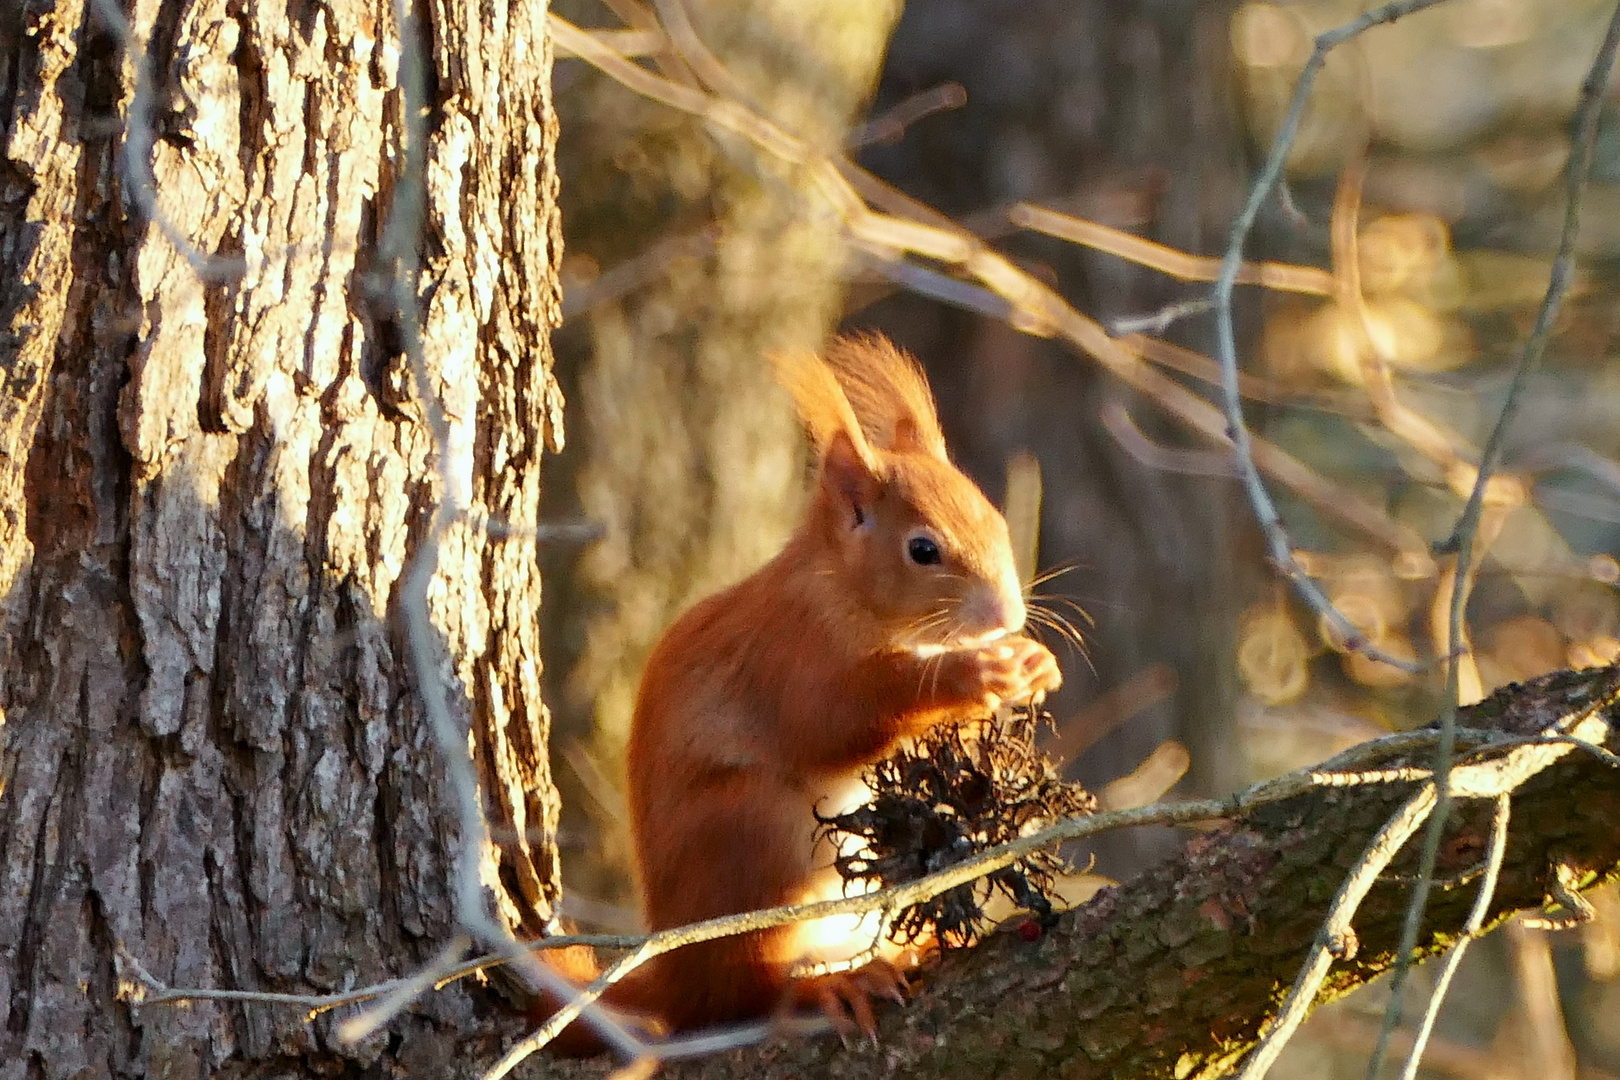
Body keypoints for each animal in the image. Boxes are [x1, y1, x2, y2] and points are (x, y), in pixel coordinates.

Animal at [550, 335, 1069, 1049]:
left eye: (995, 515)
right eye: (923, 550)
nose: (1007, 615)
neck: (846, 596)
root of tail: (673, 987)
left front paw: (1034, 664)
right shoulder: (790, 656)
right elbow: (836, 719)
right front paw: (974, 673)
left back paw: (915, 949)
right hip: (749, 838)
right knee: (740, 999)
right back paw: (825, 988)